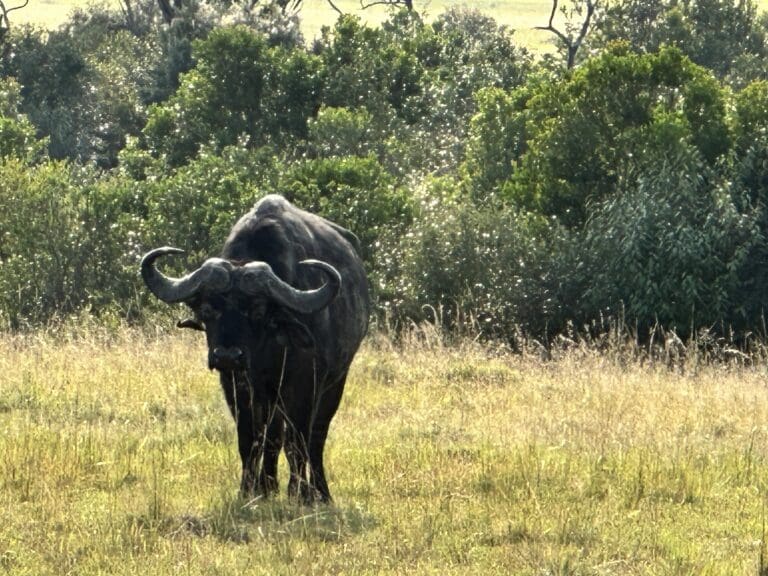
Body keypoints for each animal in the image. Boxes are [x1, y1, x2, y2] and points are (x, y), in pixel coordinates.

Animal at [144, 196, 372, 502]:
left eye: (258, 311)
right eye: (208, 310)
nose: (227, 355)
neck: (267, 351)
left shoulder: (305, 383)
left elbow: (298, 441)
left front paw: (299, 494)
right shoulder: (236, 385)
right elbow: (250, 438)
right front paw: (250, 490)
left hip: (335, 382)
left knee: (315, 437)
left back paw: (319, 492)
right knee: (274, 436)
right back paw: (269, 485)